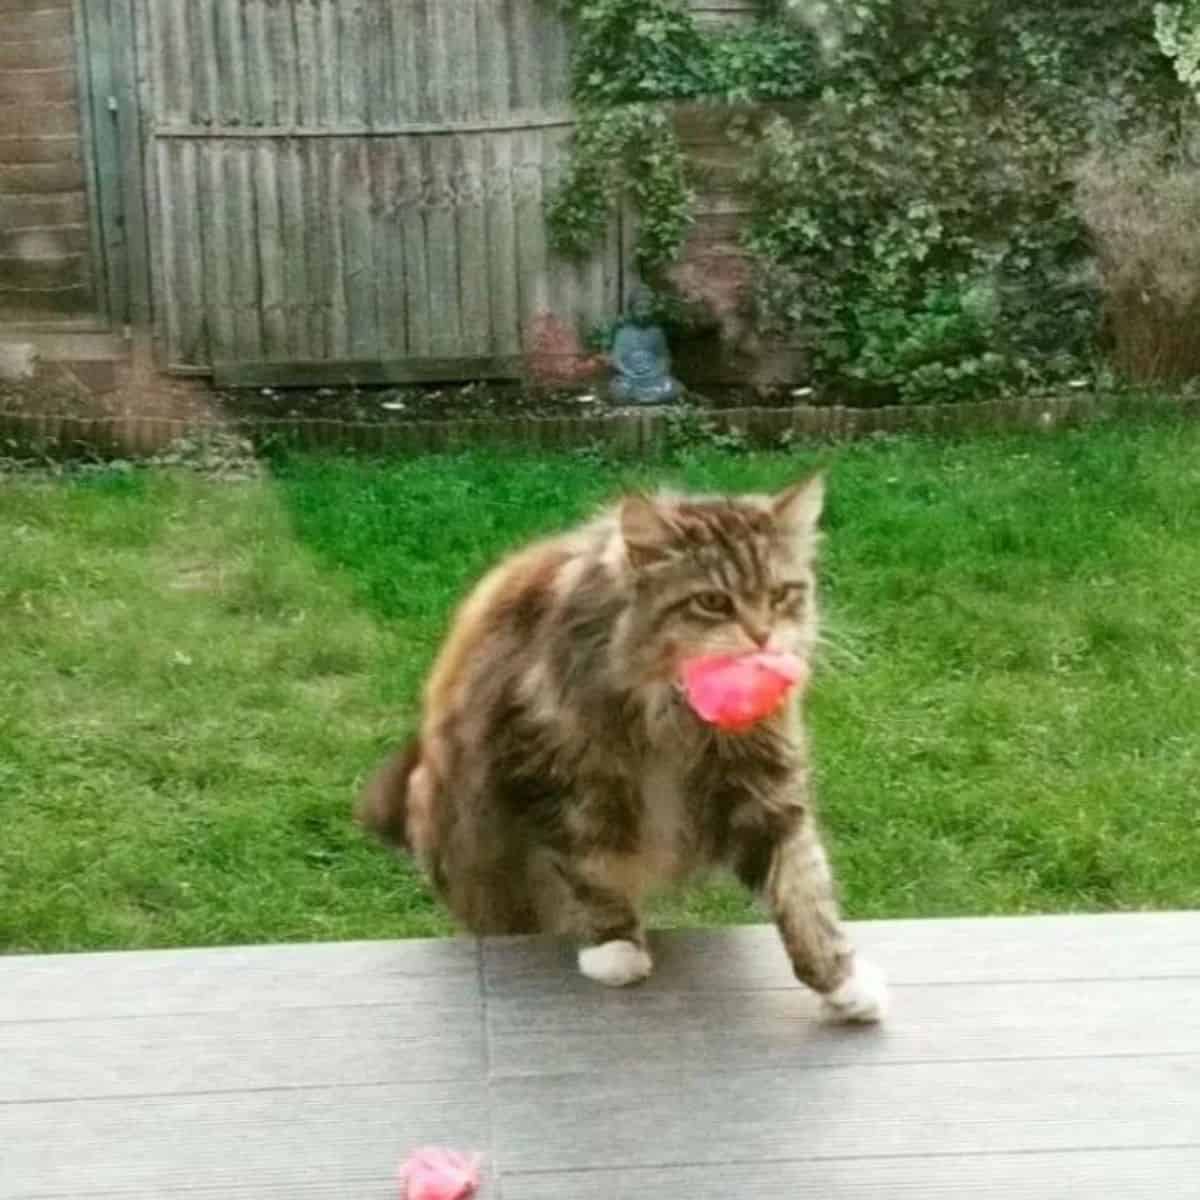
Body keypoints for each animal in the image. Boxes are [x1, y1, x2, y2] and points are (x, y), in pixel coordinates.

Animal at [350, 472, 888, 1017]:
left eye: (781, 595)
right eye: (712, 602)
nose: (762, 637)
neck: (671, 711)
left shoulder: (764, 784)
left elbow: (803, 889)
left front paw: (841, 981)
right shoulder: (558, 777)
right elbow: (591, 871)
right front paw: (615, 949)